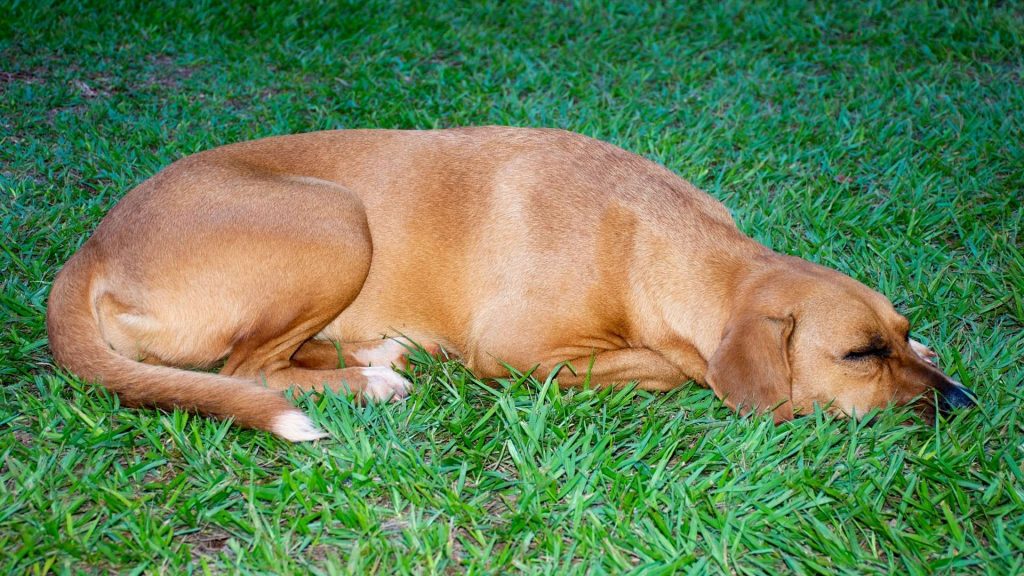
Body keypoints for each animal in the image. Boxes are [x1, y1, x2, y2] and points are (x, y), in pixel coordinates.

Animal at [48, 126, 974, 438]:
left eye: (896, 333)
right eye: (858, 355)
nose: (965, 404)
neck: (662, 241)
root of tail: (88, 251)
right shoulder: (521, 351)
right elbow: (676, 367)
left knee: (275, 360)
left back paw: (374, 356)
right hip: (337, 218)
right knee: (246, 371)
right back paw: (371, 381)